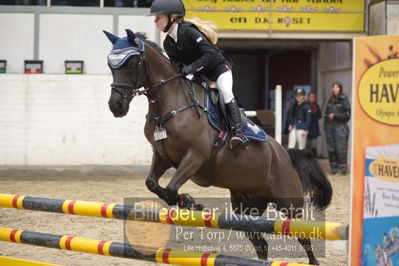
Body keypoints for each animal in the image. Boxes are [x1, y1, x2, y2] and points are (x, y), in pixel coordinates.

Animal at [104, 29, 332, 264]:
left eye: (132, 64)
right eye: (111, 66)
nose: (116, 106)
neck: (169, 107)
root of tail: (285, 154)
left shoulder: (195, 156)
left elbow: (171, 187)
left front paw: (190, 203)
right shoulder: (162, 155)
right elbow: (153, 183)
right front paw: (187, 203)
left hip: (288, 202)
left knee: (302, 235)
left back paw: (313, 261)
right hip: (246, 207)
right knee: (261, 243)